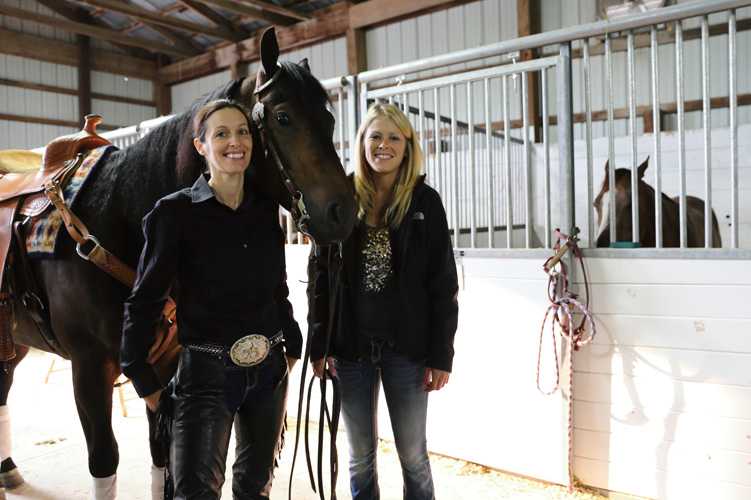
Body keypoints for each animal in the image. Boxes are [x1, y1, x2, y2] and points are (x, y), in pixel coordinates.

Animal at [0, 27, 356, 500]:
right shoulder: (88, 369)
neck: (116, 218)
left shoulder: (165, 365)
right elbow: (105, 461)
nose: (344, 213)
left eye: (329, 120)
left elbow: (161, 457)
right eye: (283, 117)